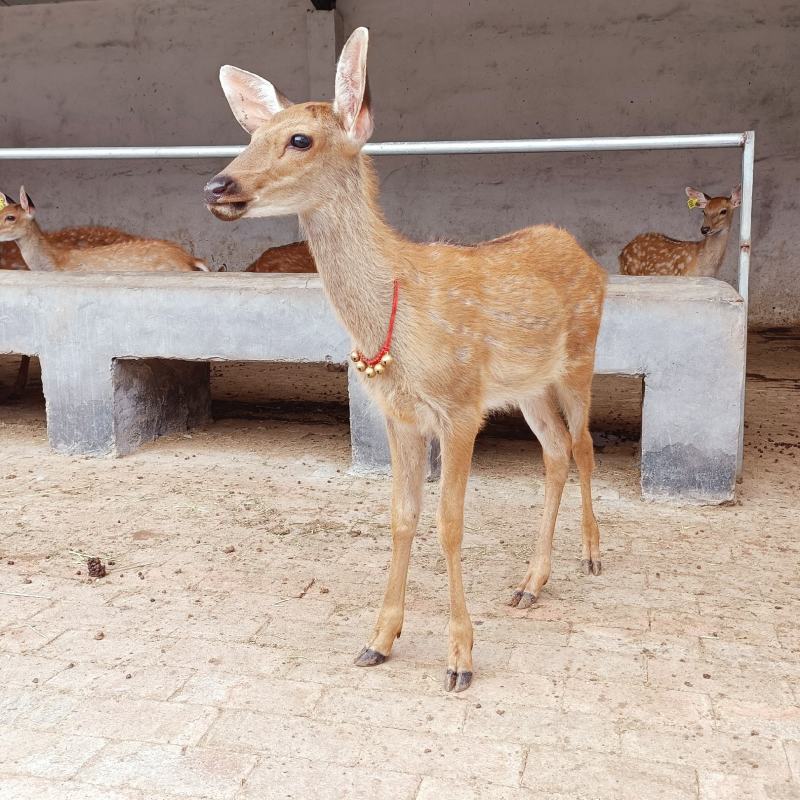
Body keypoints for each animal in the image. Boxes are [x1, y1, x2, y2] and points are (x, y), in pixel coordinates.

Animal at [204, 27, 607, 692]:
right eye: (251, 136)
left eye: (299, 138)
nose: (217, 186)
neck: (398, 314)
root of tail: (584, 253)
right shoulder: (399, 414)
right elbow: (400, 515)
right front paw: (379, 639)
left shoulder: (461, 405)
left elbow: (449, 523)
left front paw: (460, 659)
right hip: (526, 387)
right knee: (554, 451)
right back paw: (530, 583)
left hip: (582, 356)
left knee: (583, 445)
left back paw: (593, 555)